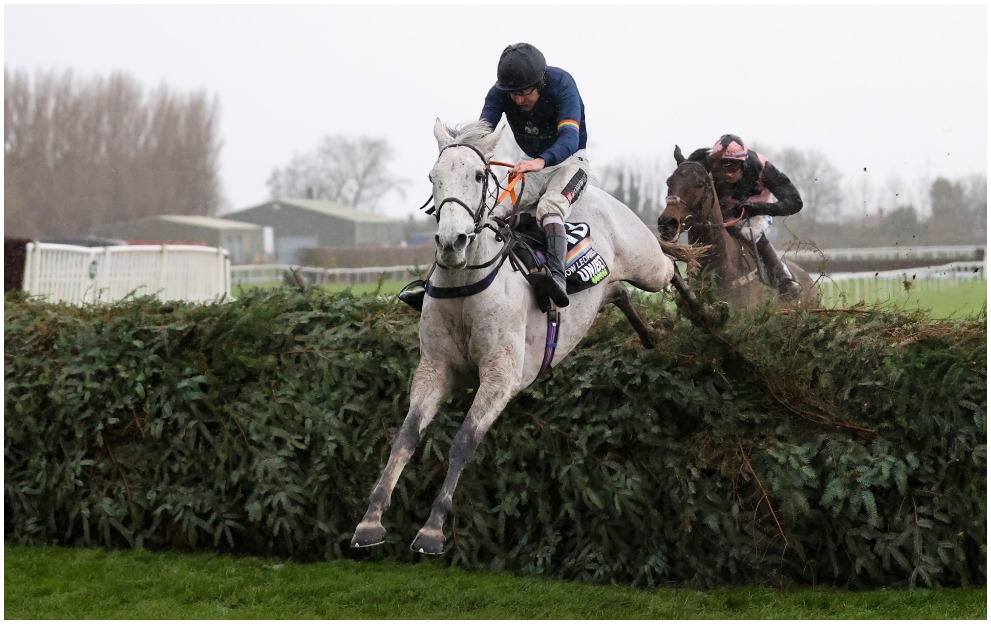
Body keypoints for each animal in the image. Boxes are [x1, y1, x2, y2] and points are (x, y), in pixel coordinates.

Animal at [350, 119, 676, 552]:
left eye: (476, 175)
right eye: (433, 177)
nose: (451, 242)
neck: (466, 285)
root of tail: (600, 195)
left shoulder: (500, 376)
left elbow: (464, 441)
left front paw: (433, 528)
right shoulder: (435, 369)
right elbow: (406, 435)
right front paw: (370, 520)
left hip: (647, 263)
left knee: (673, 265)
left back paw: (706, 298)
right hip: (608, 287)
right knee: (620, 291)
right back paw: (650, 335)